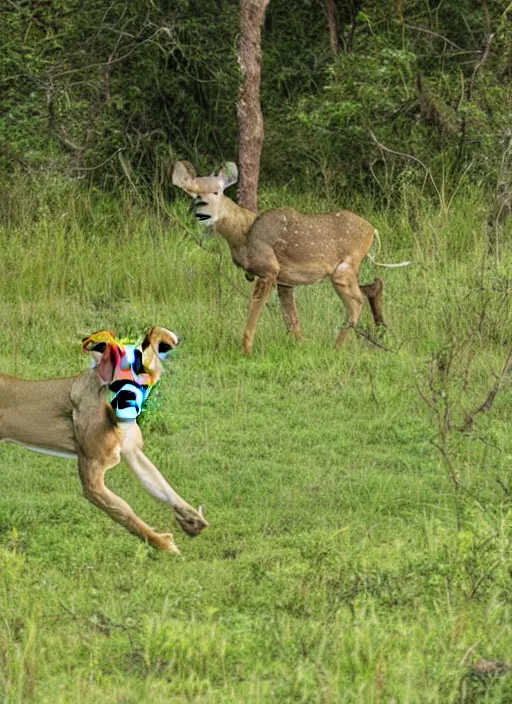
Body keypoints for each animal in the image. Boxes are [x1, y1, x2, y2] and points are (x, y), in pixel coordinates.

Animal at [0, 328, 208, 552]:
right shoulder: (93, 477)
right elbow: (125, 514)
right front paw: (166, 546)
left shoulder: (133, 452)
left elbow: (160, 485)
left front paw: (192, 519)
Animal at [171, 162, 408, 354]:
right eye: (193, 194)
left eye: (217, 191)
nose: (202, 213)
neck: (242, 234)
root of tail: (372, 230)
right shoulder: (284, 280)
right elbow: (292, 321)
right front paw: (300, 345)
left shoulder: (268, 270)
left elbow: (254, 313)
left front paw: (246, 350)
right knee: (374, 286)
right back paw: (379, 334)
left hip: (343, 270)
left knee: (357, 301)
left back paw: (337, 348)